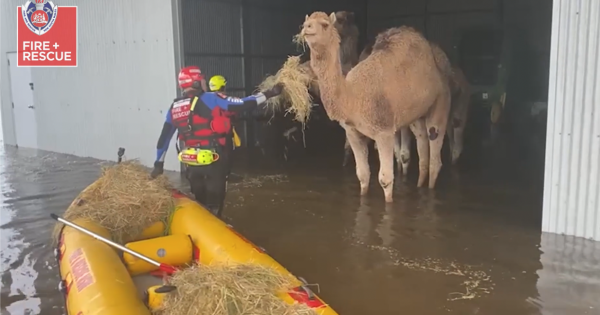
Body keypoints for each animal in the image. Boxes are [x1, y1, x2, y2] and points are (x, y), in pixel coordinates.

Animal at [302, 12, 452, 202]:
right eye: (307, 21)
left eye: (325, 24)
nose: (306, 28)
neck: (352, 97)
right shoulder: (352, 133)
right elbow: (363, 175)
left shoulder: (384, 132)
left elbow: (385, 179)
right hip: (416, 115)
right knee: (422, 149)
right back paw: (419, 186)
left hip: (442, 99)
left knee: (434, 153)